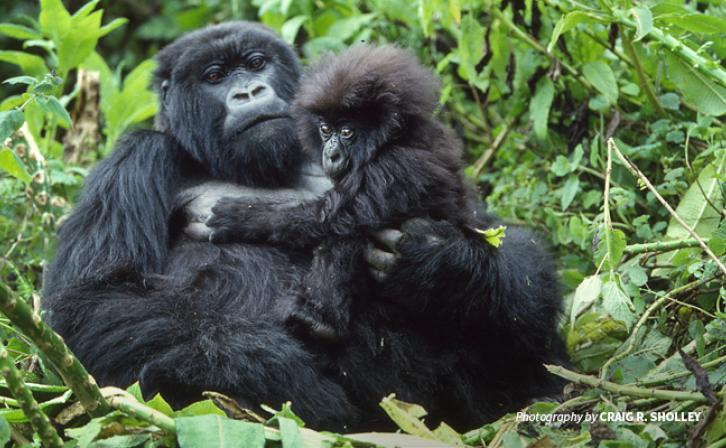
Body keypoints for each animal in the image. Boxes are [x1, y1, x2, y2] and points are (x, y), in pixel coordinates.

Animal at [208, 44, 474, 340]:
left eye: (347, 132)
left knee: (347, 232)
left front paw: (244, 216)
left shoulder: (396, 167)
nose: (331, 154)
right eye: (325, 129)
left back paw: (317, 319)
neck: (396, 139)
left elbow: (328, 217)